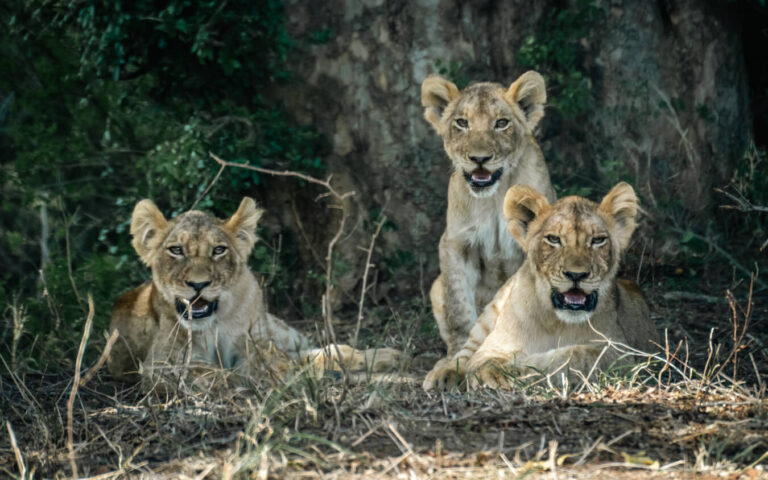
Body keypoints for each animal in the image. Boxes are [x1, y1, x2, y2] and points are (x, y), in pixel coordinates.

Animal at [107, 197, 400, 391]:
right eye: (176, 250)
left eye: (218, 250)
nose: (199, 284)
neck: (215, 324)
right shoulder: (160, 365)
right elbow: (214, 374)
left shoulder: (258, 344)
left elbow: (294, 361)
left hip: (283, 333)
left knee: (329, 349)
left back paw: (386, 356)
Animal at [421, 71, 556, 361]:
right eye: (462, 123)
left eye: (501, 123)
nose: (479, 159)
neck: (494, 197)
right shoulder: (454, 243)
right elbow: (458, 307)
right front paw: (457, 356)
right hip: (436, 286)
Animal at [423, 182, 660, 390]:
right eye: (553, 239)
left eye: (597, 240)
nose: (576, 275)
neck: (557, 321)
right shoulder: (492, 346)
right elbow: (481, 358)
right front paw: (492, 371)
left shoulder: (621, 354)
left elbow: (569, 358)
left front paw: (504, 371)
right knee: (465, 351)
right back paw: (443, 374)